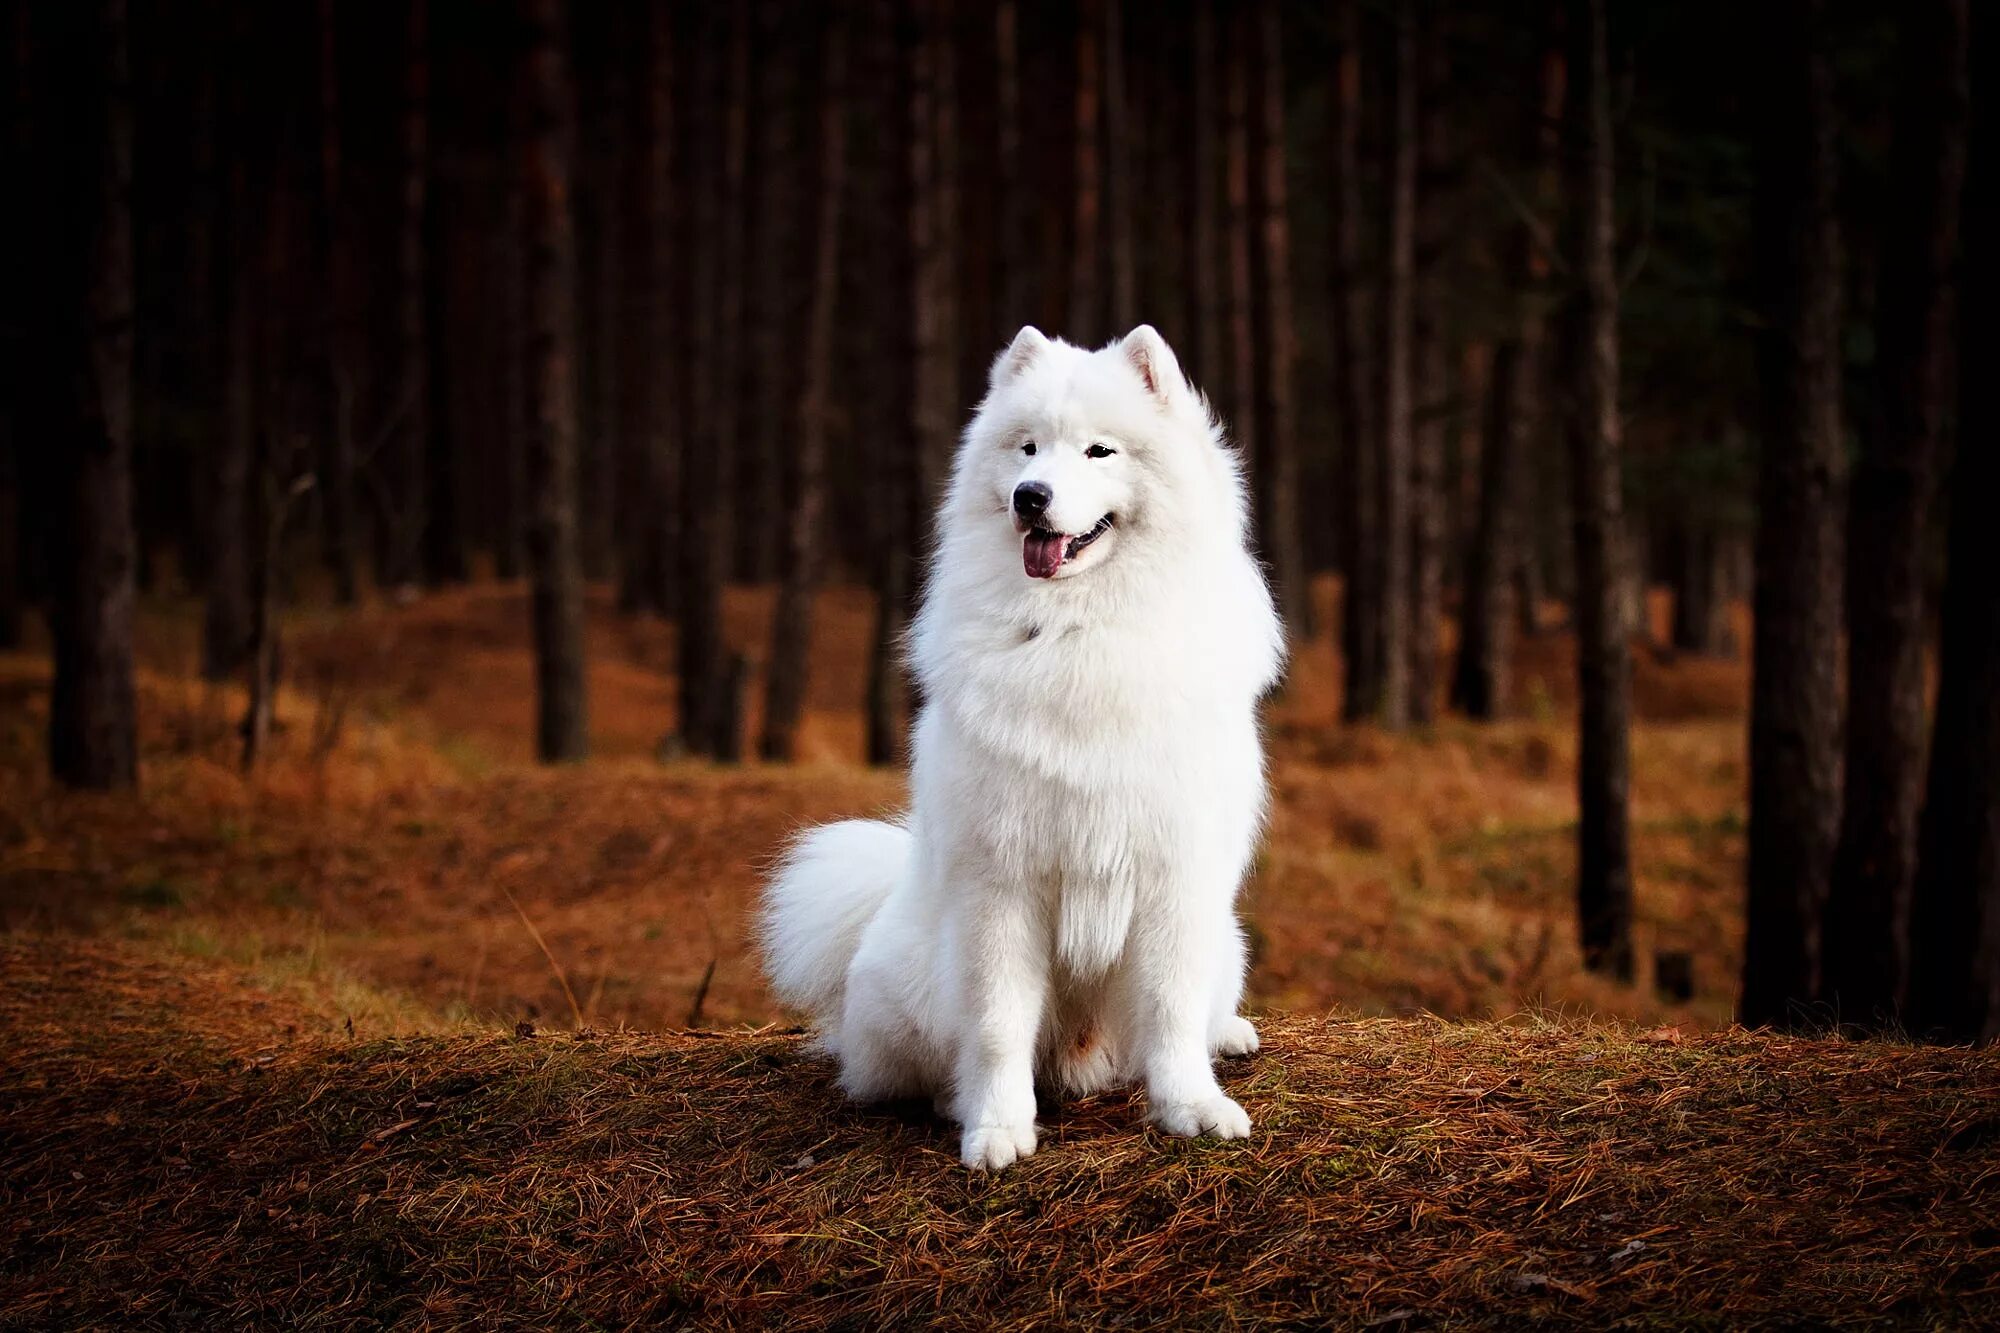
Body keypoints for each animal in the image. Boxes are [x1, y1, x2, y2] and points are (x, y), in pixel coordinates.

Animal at [756, 322, 1288, 1160]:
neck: (1079, 630)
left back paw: (1228, 1032)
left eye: (1099, 451)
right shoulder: (1002, 882)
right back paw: (952, 1098)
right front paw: (999, 1127)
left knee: (1200, 1008)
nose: (1028, 496)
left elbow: (1172, 1010)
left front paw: (1191, 1107)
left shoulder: (1174, 873)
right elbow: (1000, 1022)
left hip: (1224, 937)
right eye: (1028, 448)